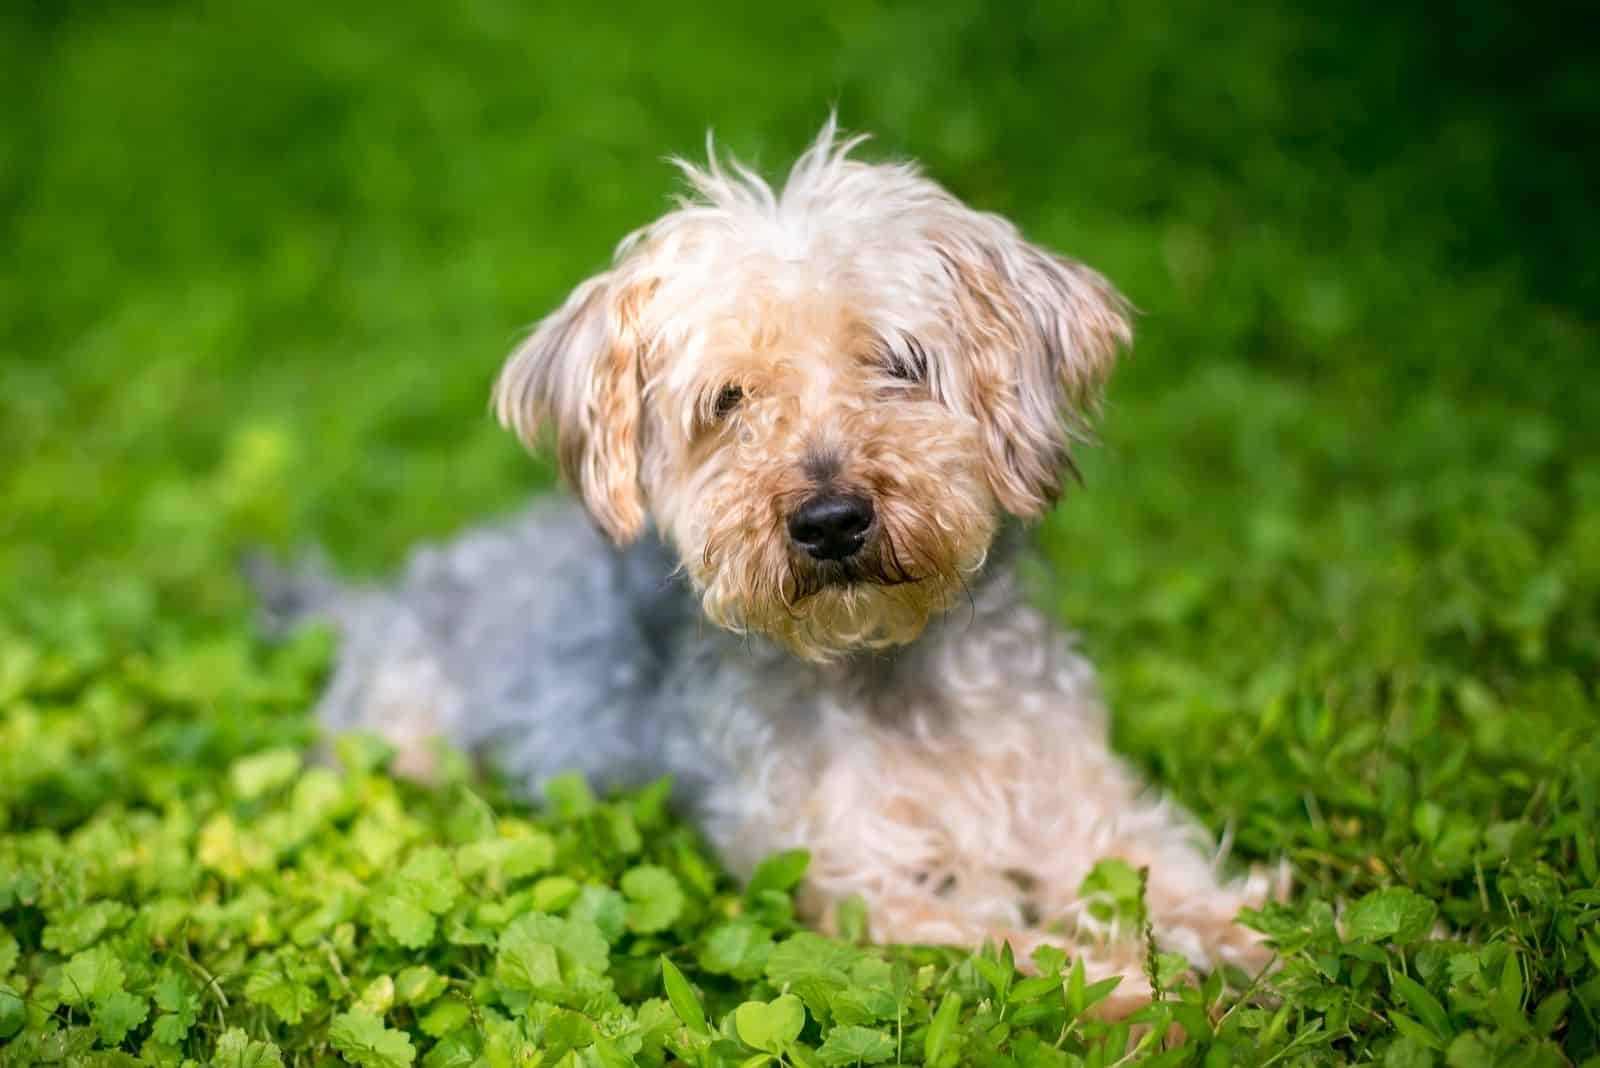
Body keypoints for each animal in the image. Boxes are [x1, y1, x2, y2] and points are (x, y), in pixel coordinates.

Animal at [265, 120, 1286, 1004]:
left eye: (899, 362)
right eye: (729, 399)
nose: (830, 521)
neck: (889, 671)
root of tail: (376, 598)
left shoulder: (1084, 808)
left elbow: (1165, 877)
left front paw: (1261, 945)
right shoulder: (856, 885)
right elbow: (1016, 945)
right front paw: (1143, 991)